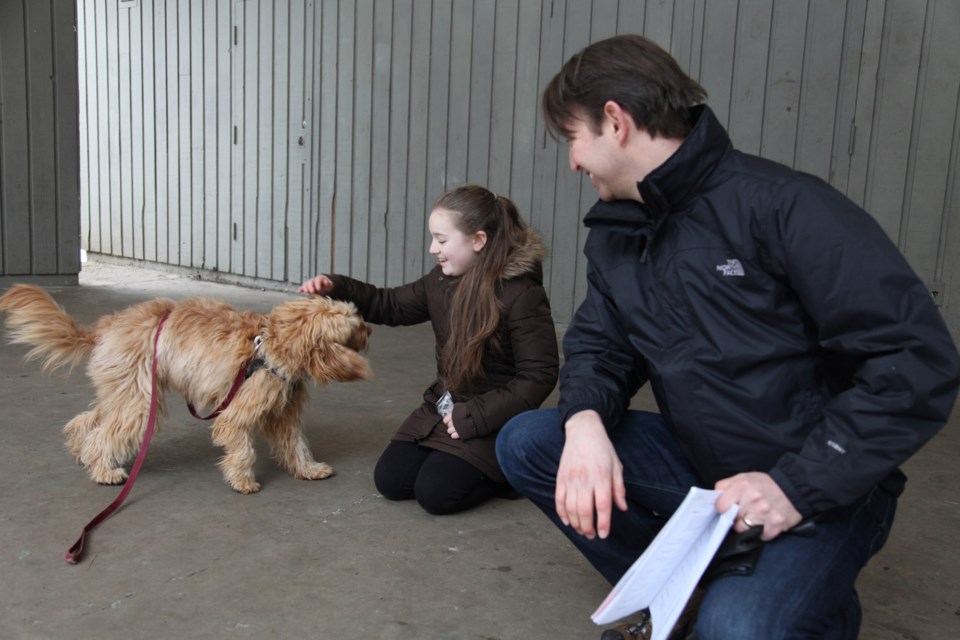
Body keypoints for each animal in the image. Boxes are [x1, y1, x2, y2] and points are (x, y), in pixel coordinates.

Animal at [0, 284, 372, 496]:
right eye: (354, 327)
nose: (370, 330)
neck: (277, 343)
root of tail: (107, 325)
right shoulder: (237, 413)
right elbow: (242, 447)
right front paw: (243, 481)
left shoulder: (283, 414)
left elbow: (295, 444)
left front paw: (308, 469)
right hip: (138, 401)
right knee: (105, 434)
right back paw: (104, 469)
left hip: (122, 391)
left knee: (89, 421)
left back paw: (84, 453)